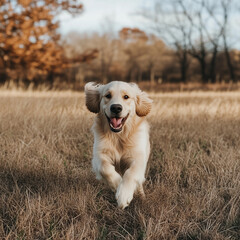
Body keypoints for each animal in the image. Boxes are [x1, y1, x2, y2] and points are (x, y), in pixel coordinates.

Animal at [85, 80, 152, 208]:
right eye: (107, 95)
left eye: (126, 97)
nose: (116, 108)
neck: (118, 136)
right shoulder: (99, 155)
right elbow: (105, 168)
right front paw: (117, 185)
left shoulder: (138, 157)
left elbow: (131, 173)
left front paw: (124, 194)